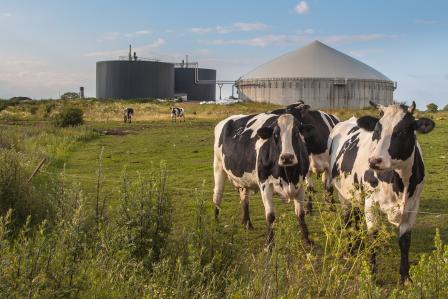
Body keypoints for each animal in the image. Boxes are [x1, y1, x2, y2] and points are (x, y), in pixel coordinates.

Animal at [214, 112, 316, 246]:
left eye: (296, 134)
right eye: (275, 135)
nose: (287, 157)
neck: (287, 175)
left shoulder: (300, 185)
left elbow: (301, 214)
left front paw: (307, 239)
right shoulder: (265, 185)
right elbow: (270, 216)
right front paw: (269, 243)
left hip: (243, 181)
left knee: (244, 200)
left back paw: (247, 224)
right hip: (218, 167)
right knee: (217, 195)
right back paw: (215, 223)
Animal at [328, 102, 436, 284]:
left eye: (402, 131)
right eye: (377, 131)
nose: (374, 161)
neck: (400, 184)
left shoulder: (413, 205)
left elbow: (405, 241)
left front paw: (405, 277)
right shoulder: (371, 202)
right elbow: (373, 237)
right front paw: (372, 275)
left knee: (356, 218)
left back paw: (357, 246)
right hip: (343, 193)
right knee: (347, 219)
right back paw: (349, 250)